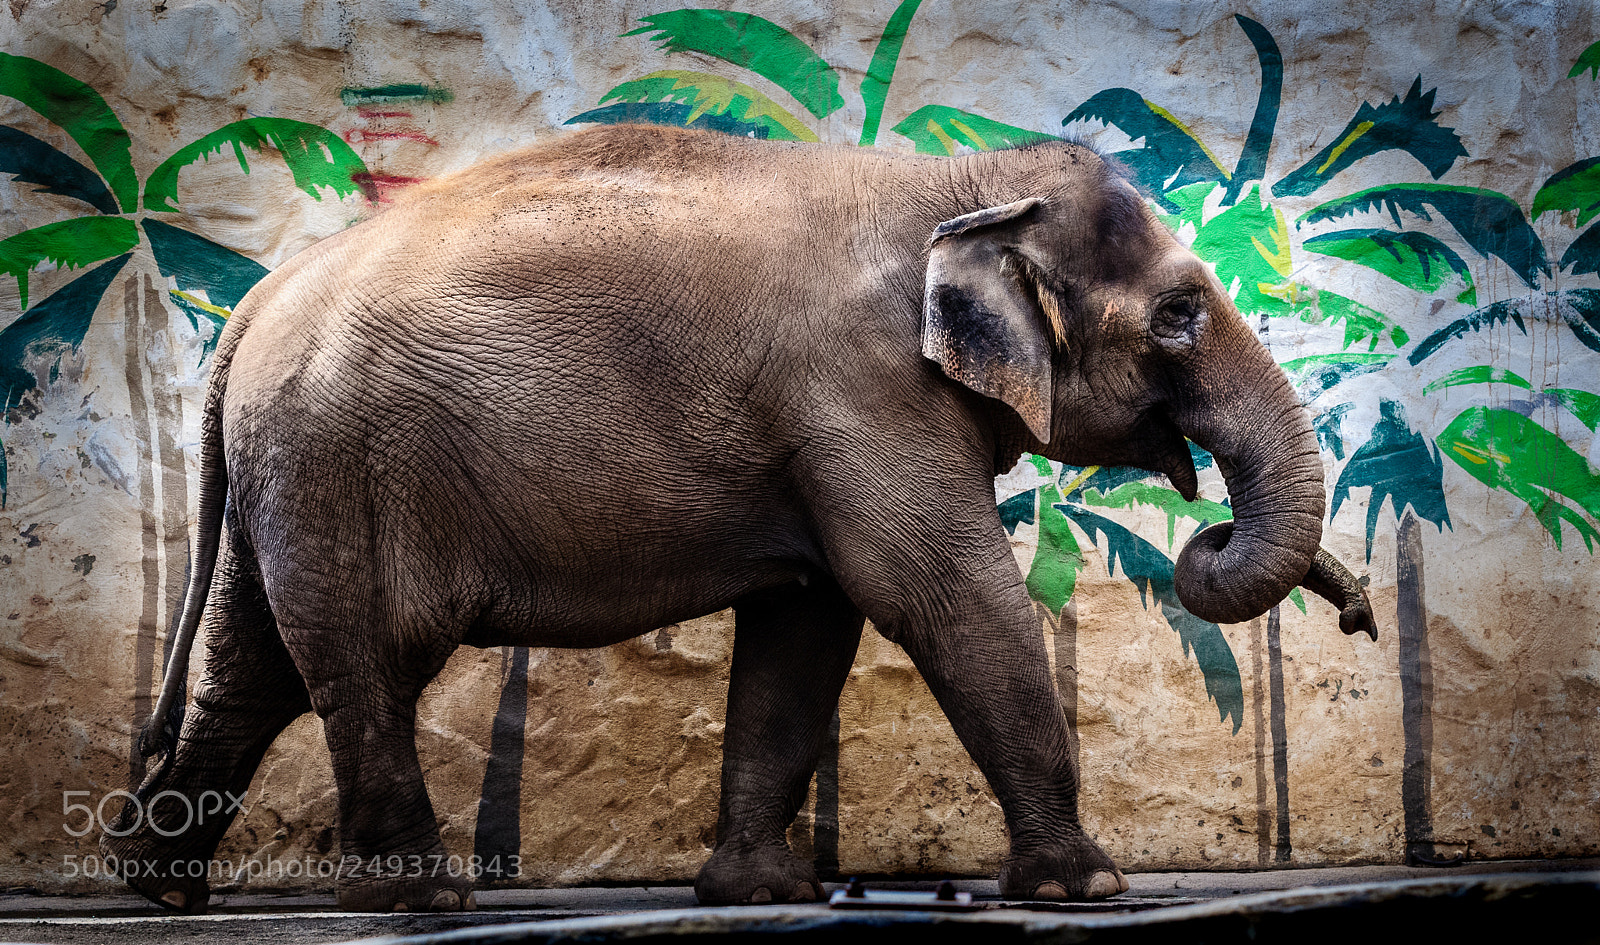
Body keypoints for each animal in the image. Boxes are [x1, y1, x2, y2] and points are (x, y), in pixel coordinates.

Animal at [103, 123, 1375, 913]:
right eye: (1177, 315)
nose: (1358, 615)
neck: (953, 180)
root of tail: (255, 304)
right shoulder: (863, 391)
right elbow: (939, 596)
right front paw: (1088, 890)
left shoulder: (829, 422)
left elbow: (805, 625)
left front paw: (760, 893)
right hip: (341, 464)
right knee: (365, 660)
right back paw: (421, 897)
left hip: (288, 475)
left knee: (253, 667)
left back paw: (159, 884)